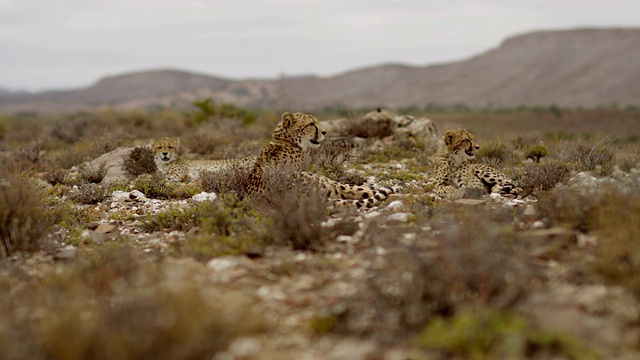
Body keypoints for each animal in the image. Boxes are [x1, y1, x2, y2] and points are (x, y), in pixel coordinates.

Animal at [248, 111, 398, 210]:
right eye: (311, 124)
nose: (324, 132)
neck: (286, 140)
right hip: (329, 184)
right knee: (362, 190)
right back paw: (397, 188)